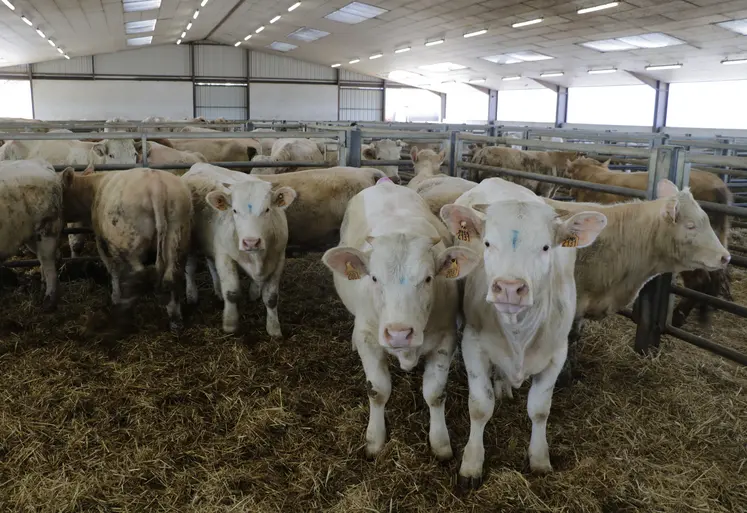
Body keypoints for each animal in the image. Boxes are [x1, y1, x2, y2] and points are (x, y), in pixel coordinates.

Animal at [62, 166, 193, 330]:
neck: (94, 188)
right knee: (172, 276)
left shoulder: (102, 242)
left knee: (138, 274)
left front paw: (115, 297)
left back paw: (123, 314)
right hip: (178, 237)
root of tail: (156, 185)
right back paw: (175, 319)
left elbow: (113, 270)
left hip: (128, 245)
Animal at [183, 161, 296, 336]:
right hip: (190, 240)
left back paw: (218, 290)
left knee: (211, 263)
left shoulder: (279, 258)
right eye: (234, 210)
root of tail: (199, 164)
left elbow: (271, 297)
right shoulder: (225, 256)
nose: (251, 242)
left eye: (267, 209)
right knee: (190, 267)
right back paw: (191, 295)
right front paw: (230, 324)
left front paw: (274, 328)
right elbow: (231, 293)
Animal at [322, 183, 480, 460]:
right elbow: (377, 391)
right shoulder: (368, 338)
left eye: (428, 278)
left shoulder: (446, 338)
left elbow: (435, 394)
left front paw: (440, 443)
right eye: (374, 278)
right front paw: (375, 440)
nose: (398, 333)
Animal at [444, 176, 608, 488]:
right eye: (487, 243)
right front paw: (472, 463)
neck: (518, 331)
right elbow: (480, 406)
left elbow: (540, 409)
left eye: (545, 247)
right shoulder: (473, 344)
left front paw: (540, 459)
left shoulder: (557, 354)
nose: (509, 287)